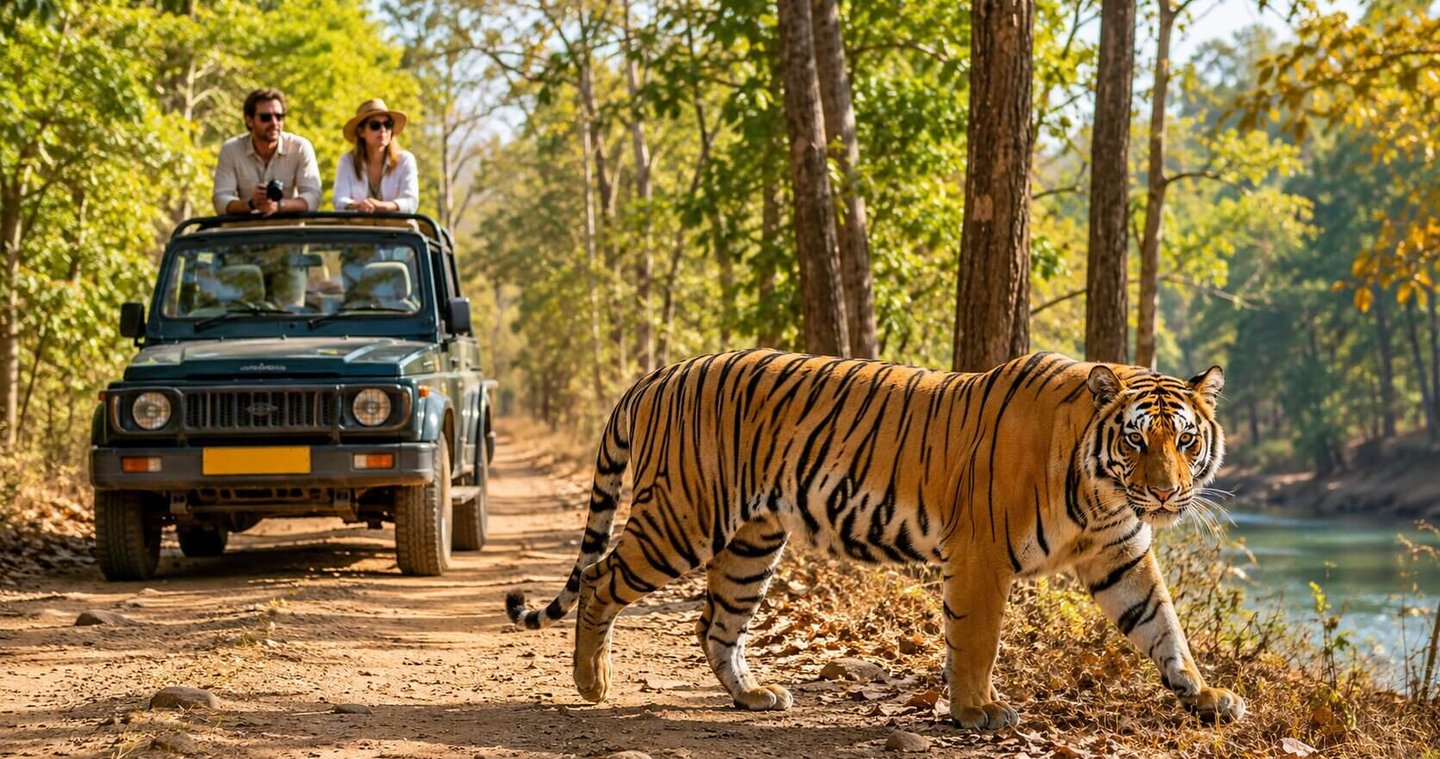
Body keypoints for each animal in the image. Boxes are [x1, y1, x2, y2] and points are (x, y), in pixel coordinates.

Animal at [505, 349, 1246, 729]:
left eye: (1184, 440)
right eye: (1135, 440)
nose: (1166, 493)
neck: (1100, 493)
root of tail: (660, 372)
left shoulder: (1121, 554)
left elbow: (1164, 626)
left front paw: (1205, 694)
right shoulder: (980, 555)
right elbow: (976, 640)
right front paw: (978, 710)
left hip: (751, 540)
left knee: (716, 623)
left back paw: (753, 696)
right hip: (683, 518)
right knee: (600, 577)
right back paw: (592, 682)